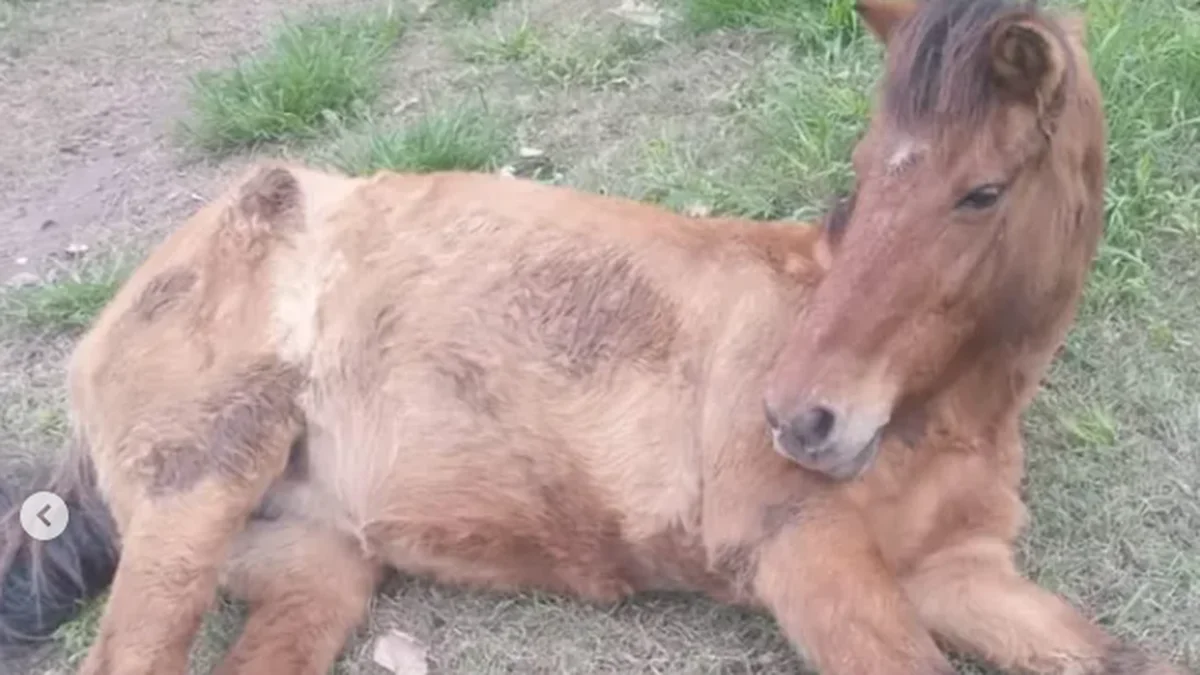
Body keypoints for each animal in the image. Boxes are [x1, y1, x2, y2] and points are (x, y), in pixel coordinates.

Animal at [1, 0, 1188, 673]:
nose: (802, 417)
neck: (942, 417)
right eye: (859, 173)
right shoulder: (807, 559)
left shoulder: (960, 574)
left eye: (982, 192)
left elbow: (1131, 658)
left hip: (318, 565)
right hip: (198, 492)